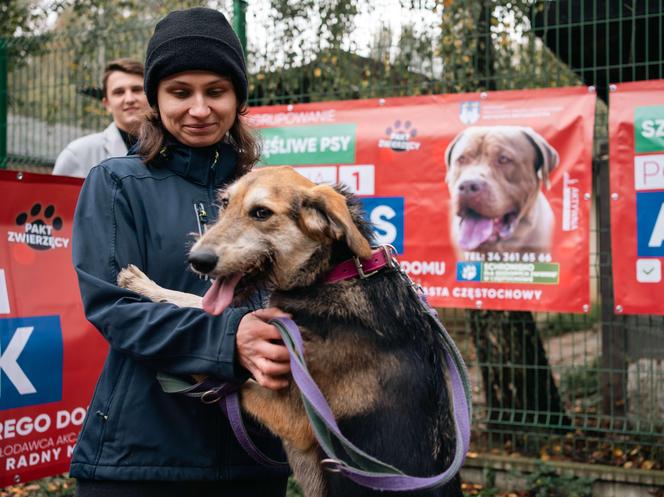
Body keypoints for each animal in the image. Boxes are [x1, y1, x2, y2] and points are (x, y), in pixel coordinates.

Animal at [118, 166, 462, 496]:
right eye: (225, 203)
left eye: (261, 213)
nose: (197, 260)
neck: (333, 273)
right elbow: (199, 305)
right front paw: (143, 284)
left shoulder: (291, 416)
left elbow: (223, 377)